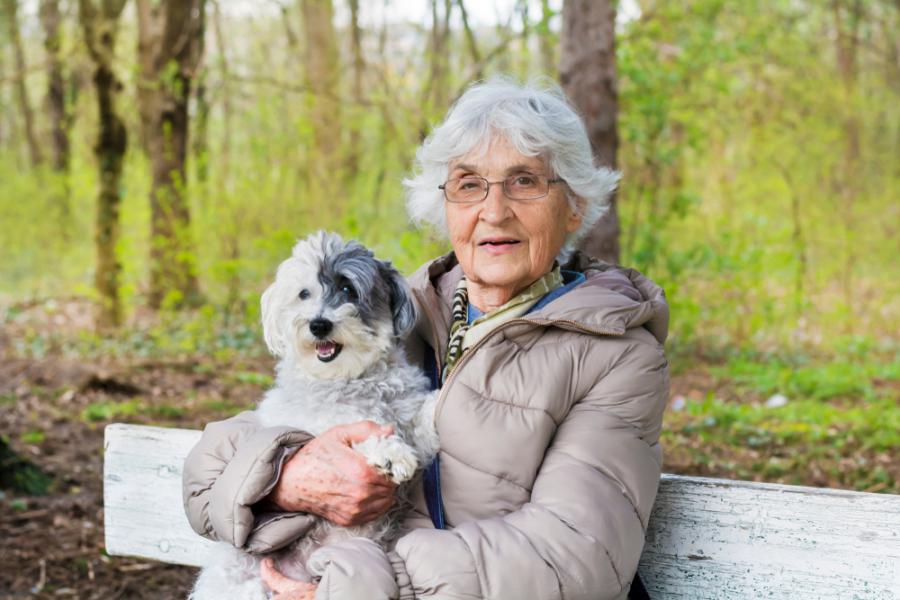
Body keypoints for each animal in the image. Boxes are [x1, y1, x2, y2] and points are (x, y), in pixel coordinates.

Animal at [190, 231, 440, 600]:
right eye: (304, 293)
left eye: (348, 288)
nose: (318, 324)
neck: (352, 380)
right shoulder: (318, 432)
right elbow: (359, 431)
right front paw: (388, 452)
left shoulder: (410, 418)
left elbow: (423, 418)